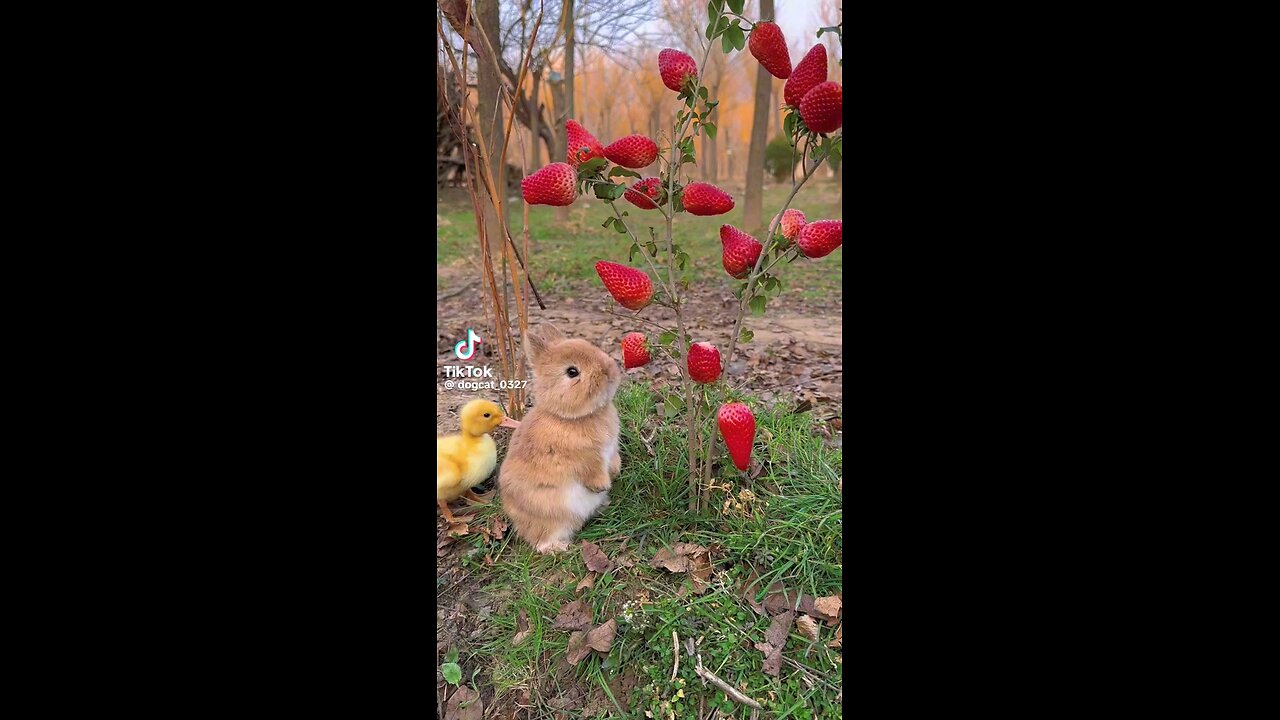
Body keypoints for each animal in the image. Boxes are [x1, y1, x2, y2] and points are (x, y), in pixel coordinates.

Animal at [496, 322, 622, 550]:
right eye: (572, 372)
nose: (609, 372)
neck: (570, 417)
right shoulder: (586, 458)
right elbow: (592, 471)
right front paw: (603, 485)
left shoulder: (611, 449)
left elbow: (614, 460)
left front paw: (615, 472)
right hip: (551, 515)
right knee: (541, 541)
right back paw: (560, 548)